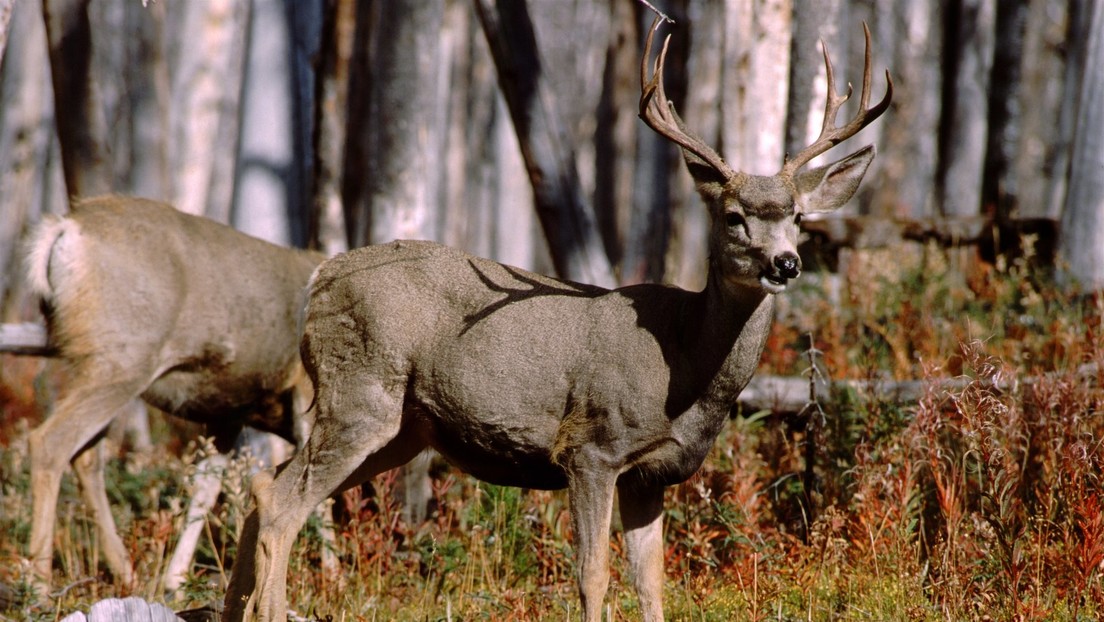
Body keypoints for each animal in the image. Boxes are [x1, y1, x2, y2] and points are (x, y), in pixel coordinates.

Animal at [23, 194, 324, 592]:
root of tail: (64, 229)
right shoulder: (304, 390)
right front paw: (334, 575)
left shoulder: (228, 413)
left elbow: (205, 488)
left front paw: (176, 578)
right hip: (122, 359)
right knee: (50, 442)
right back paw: (40, 583)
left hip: (92, 363)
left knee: (86, 456)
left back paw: (126, 572)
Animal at [221, 17, 887, 618]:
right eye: (733, 216)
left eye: (798, 216)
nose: (786, 262)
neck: (684, 364)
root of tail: (319, 280)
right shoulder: (591, 447)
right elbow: (593, 576)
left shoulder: (652, 475)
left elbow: (652, 585)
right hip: (360, 391)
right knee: (280, 503)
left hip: (405, 427)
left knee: (263, 485)